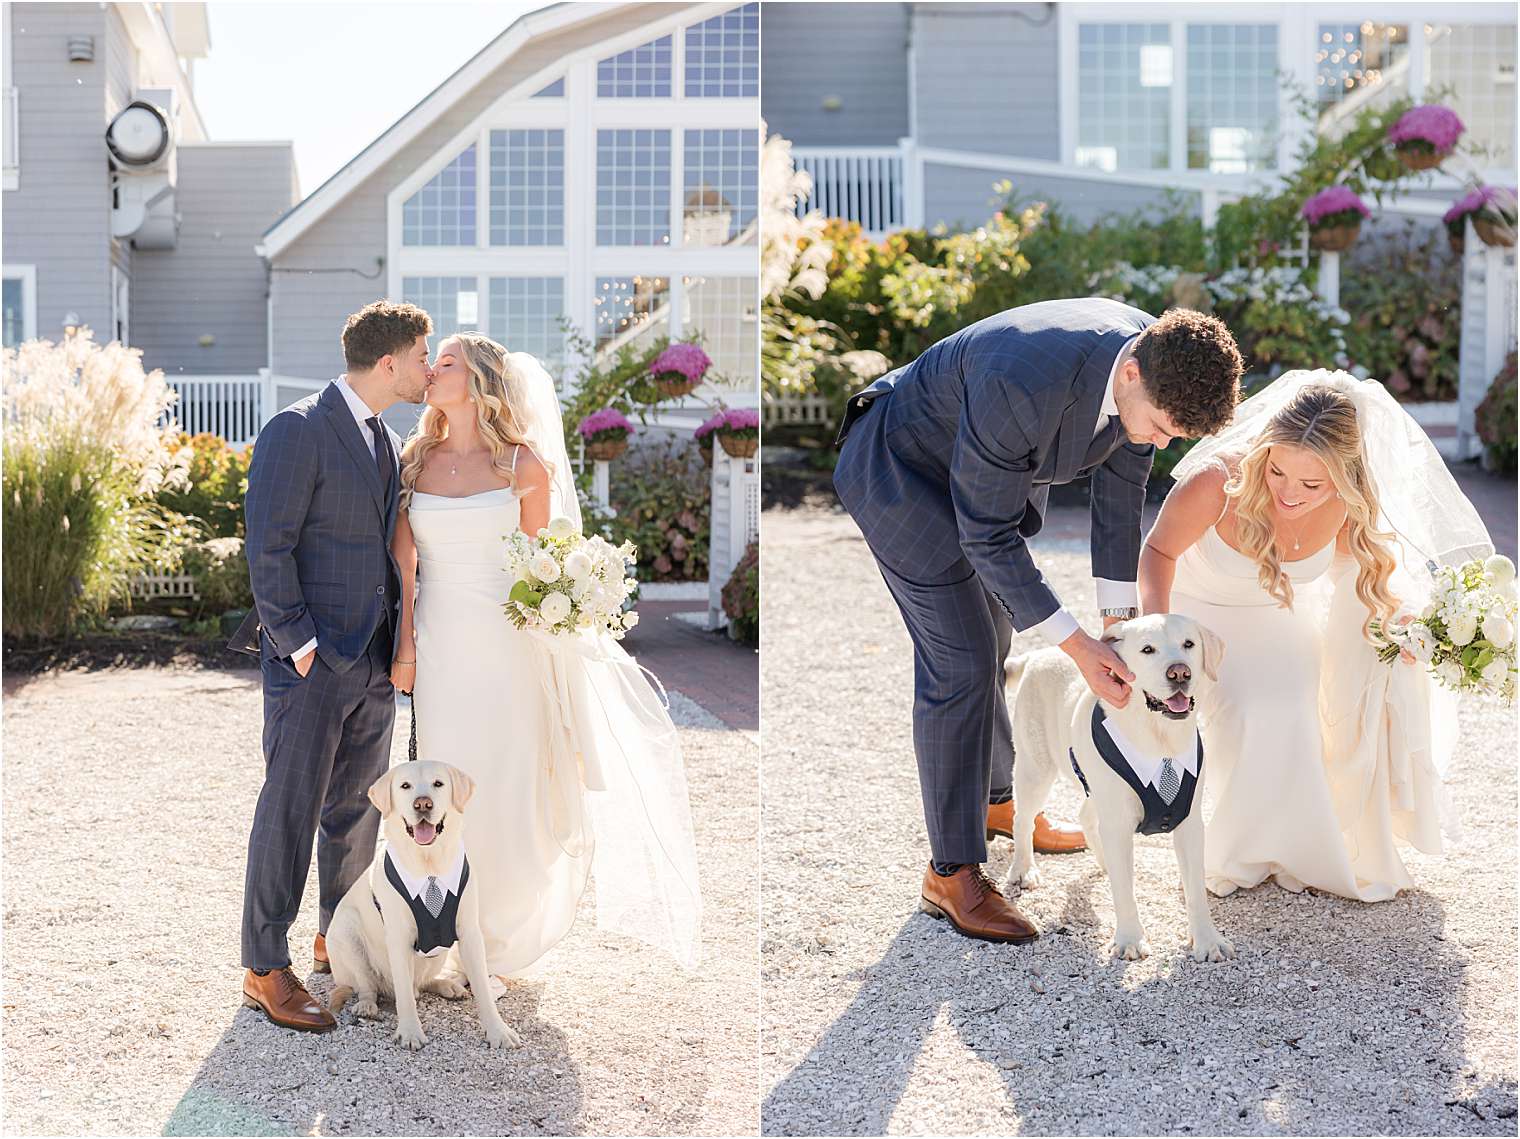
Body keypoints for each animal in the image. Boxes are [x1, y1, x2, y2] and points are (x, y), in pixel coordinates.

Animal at [323, 760, 519, 1052]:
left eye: (438, 784)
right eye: (405, 786)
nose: (423, 804)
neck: (429, 866)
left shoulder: (470, 933)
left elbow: (482, 989)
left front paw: (498, 1031)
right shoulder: (398, 937)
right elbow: (404, 994)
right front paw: (410, 1032)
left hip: (437, 958)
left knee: (422, 983)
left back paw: (449, 986)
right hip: (345, 933)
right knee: (369, 985)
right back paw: (367, 1005)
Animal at [1009, 614, 1234, 961]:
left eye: (1189, 644)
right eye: (1147, 649)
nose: (1180, 672)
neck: (1160, 742)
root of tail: (1038, 654)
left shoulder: (1190, 824)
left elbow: (1196, 890)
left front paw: (1207, 940)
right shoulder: (1118, 822)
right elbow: (1124, 892)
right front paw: (1130, 939)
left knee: (1086, 817)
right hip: (1036, 768)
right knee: (1023, 819)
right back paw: (1023, 870)